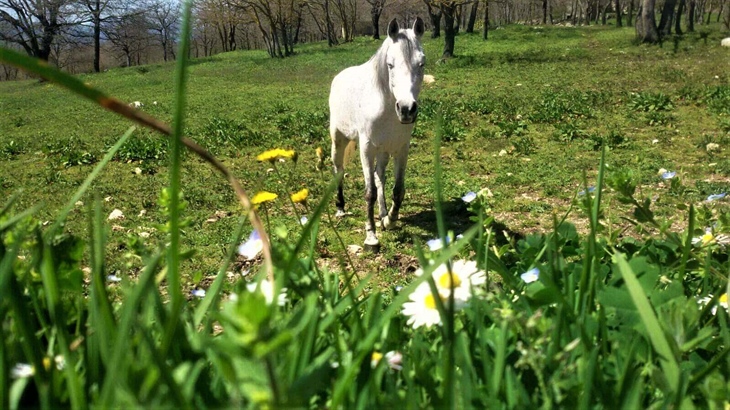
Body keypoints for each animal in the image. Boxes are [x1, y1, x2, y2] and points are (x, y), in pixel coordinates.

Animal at [328, 16, 424, 250]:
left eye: (421, 63)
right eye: (390, 65)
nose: (406, 109)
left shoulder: (401, 148)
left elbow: (397, 189)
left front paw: (389, 220)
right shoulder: (366, 149)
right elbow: (369, 191)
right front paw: (371, 236)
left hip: (383, 151)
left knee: (380, 176)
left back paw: (382, 214)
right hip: (339, 140)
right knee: (339, 169)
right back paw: (340, 207)